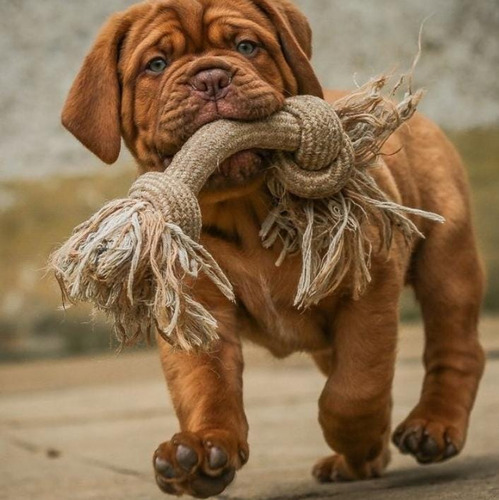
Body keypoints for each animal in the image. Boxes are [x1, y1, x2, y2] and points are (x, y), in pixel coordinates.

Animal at [60, 0, 486, 496]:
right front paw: (201, 450)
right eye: (157, 64)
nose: (211, 78)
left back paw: (430, 427)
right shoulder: (194, 310)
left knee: (457, 348)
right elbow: (204, 386)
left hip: (447, 258)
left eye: (247, 46)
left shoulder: (368, 286)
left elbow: (356, 384)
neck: (242, 209)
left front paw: (358, 437)